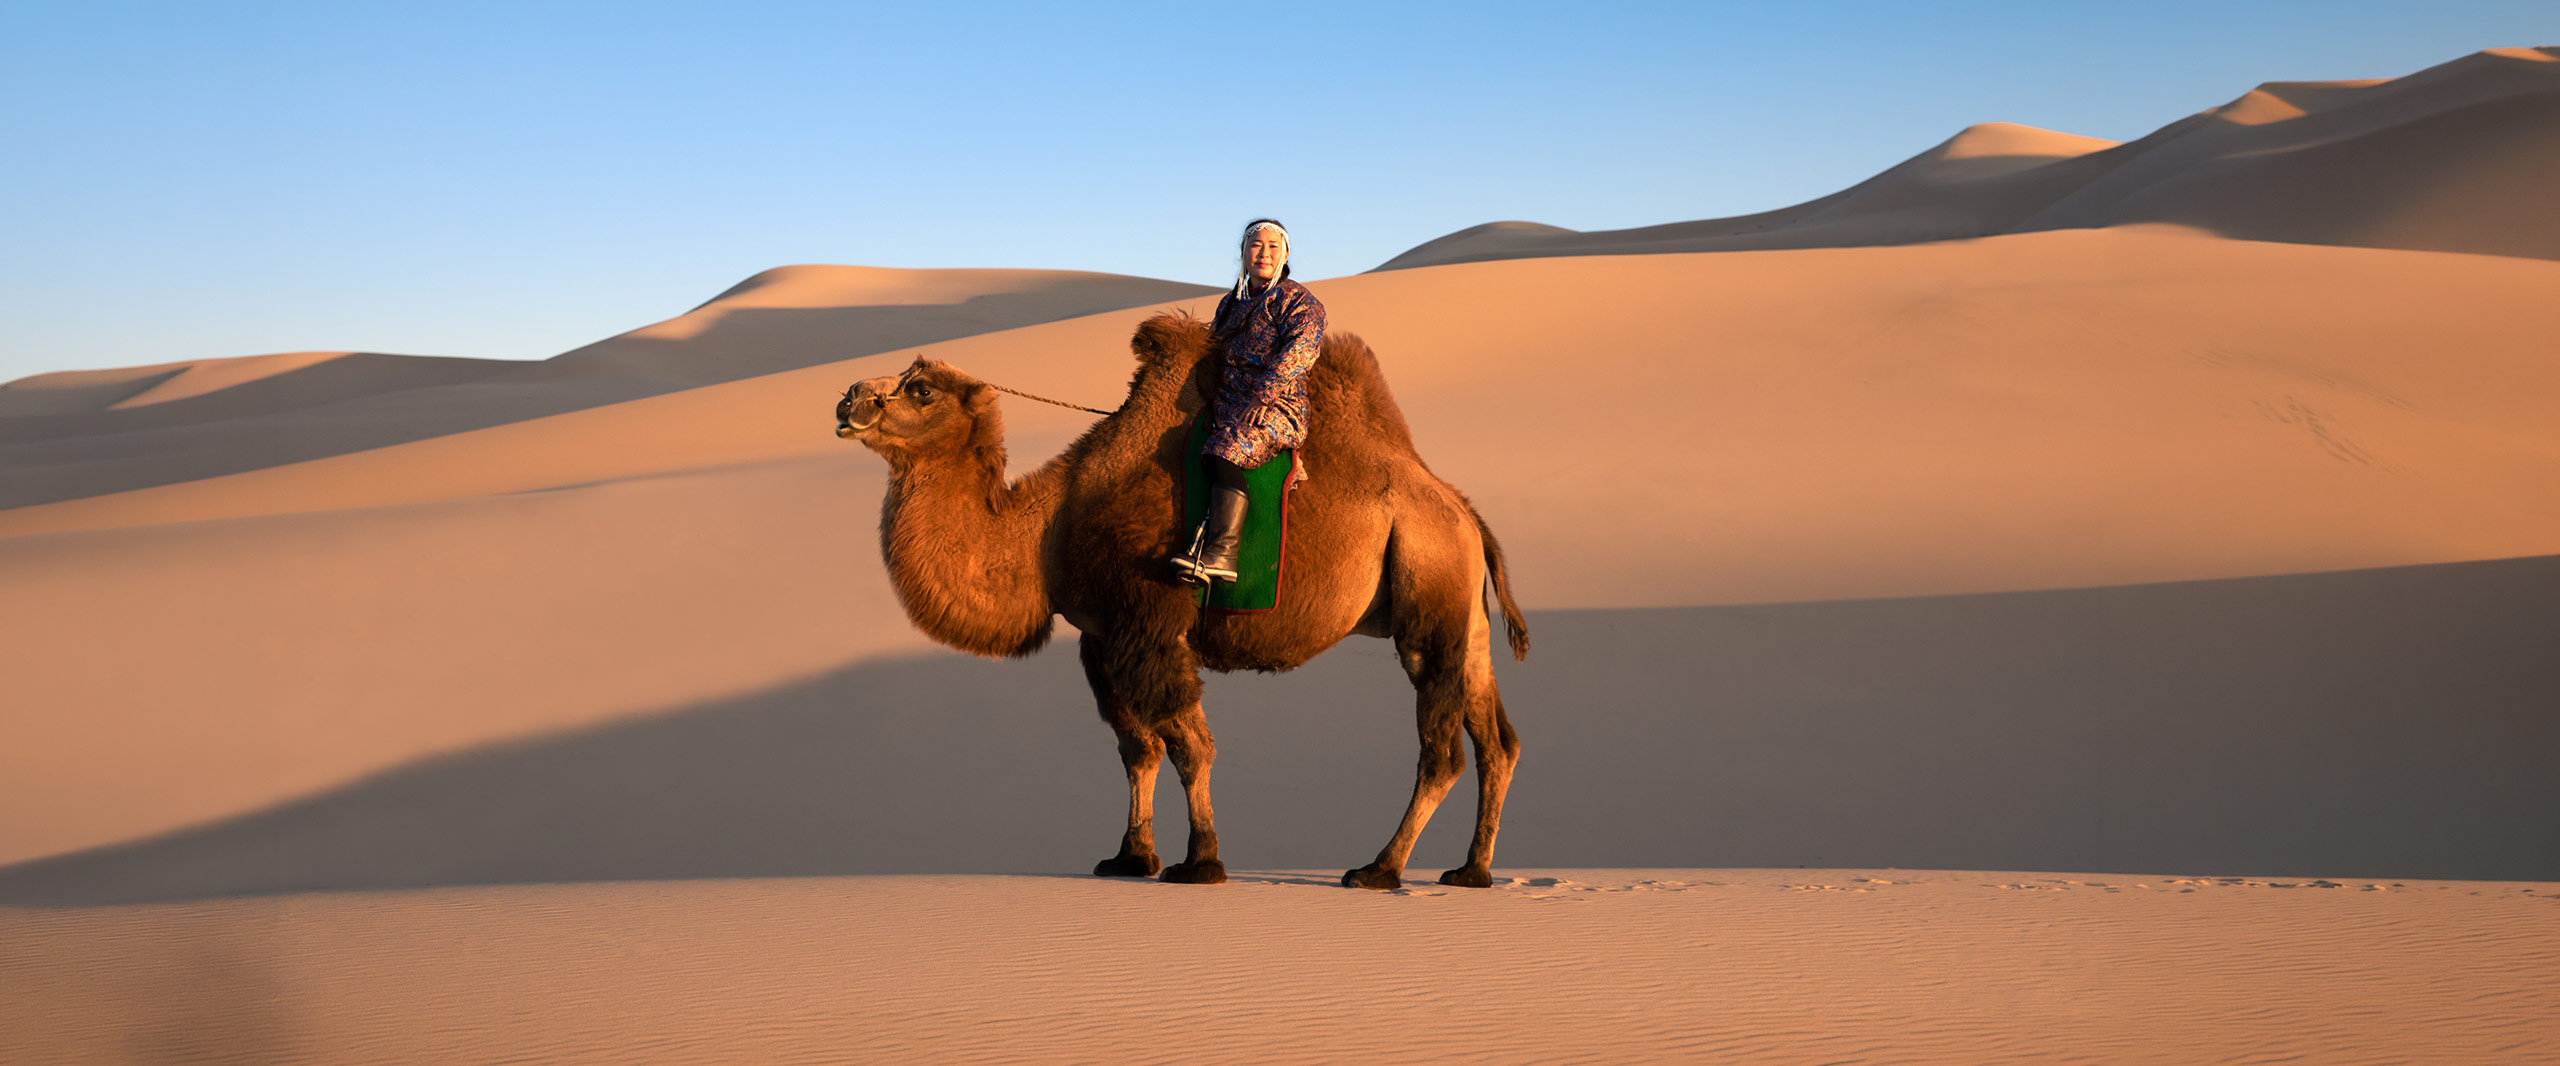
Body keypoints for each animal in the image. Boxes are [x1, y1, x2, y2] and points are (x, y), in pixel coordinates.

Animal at [834, 312, 1527, 889]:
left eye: (921, 390)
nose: (850, 397)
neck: (1050, 530)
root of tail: (1463, 512)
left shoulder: (1150, 624)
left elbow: (1190, 747)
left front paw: (1202, 862)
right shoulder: (1101, 638)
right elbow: (1136, 749)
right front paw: (1130, 857)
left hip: (1428, 594)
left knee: (1441, 749)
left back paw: (1379, 869)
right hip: (1465, 619)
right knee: (1498, 741)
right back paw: (1472, 871)